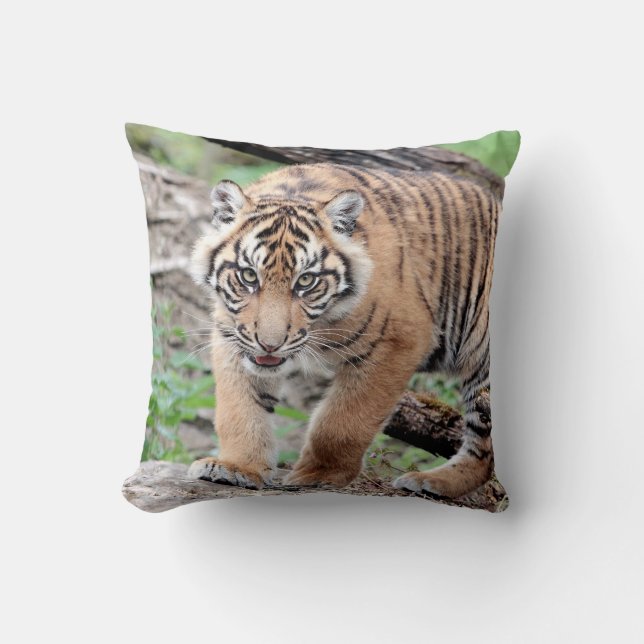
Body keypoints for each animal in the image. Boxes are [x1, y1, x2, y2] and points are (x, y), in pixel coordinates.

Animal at [188, 161, 499, 498]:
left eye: (306, 281)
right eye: (247, 276)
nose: (270, 345)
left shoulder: (398, 341)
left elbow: (343, 421)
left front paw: (317, 475)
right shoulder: (233, 336)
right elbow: (239, 407)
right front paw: (236, 467)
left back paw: (433, 482)